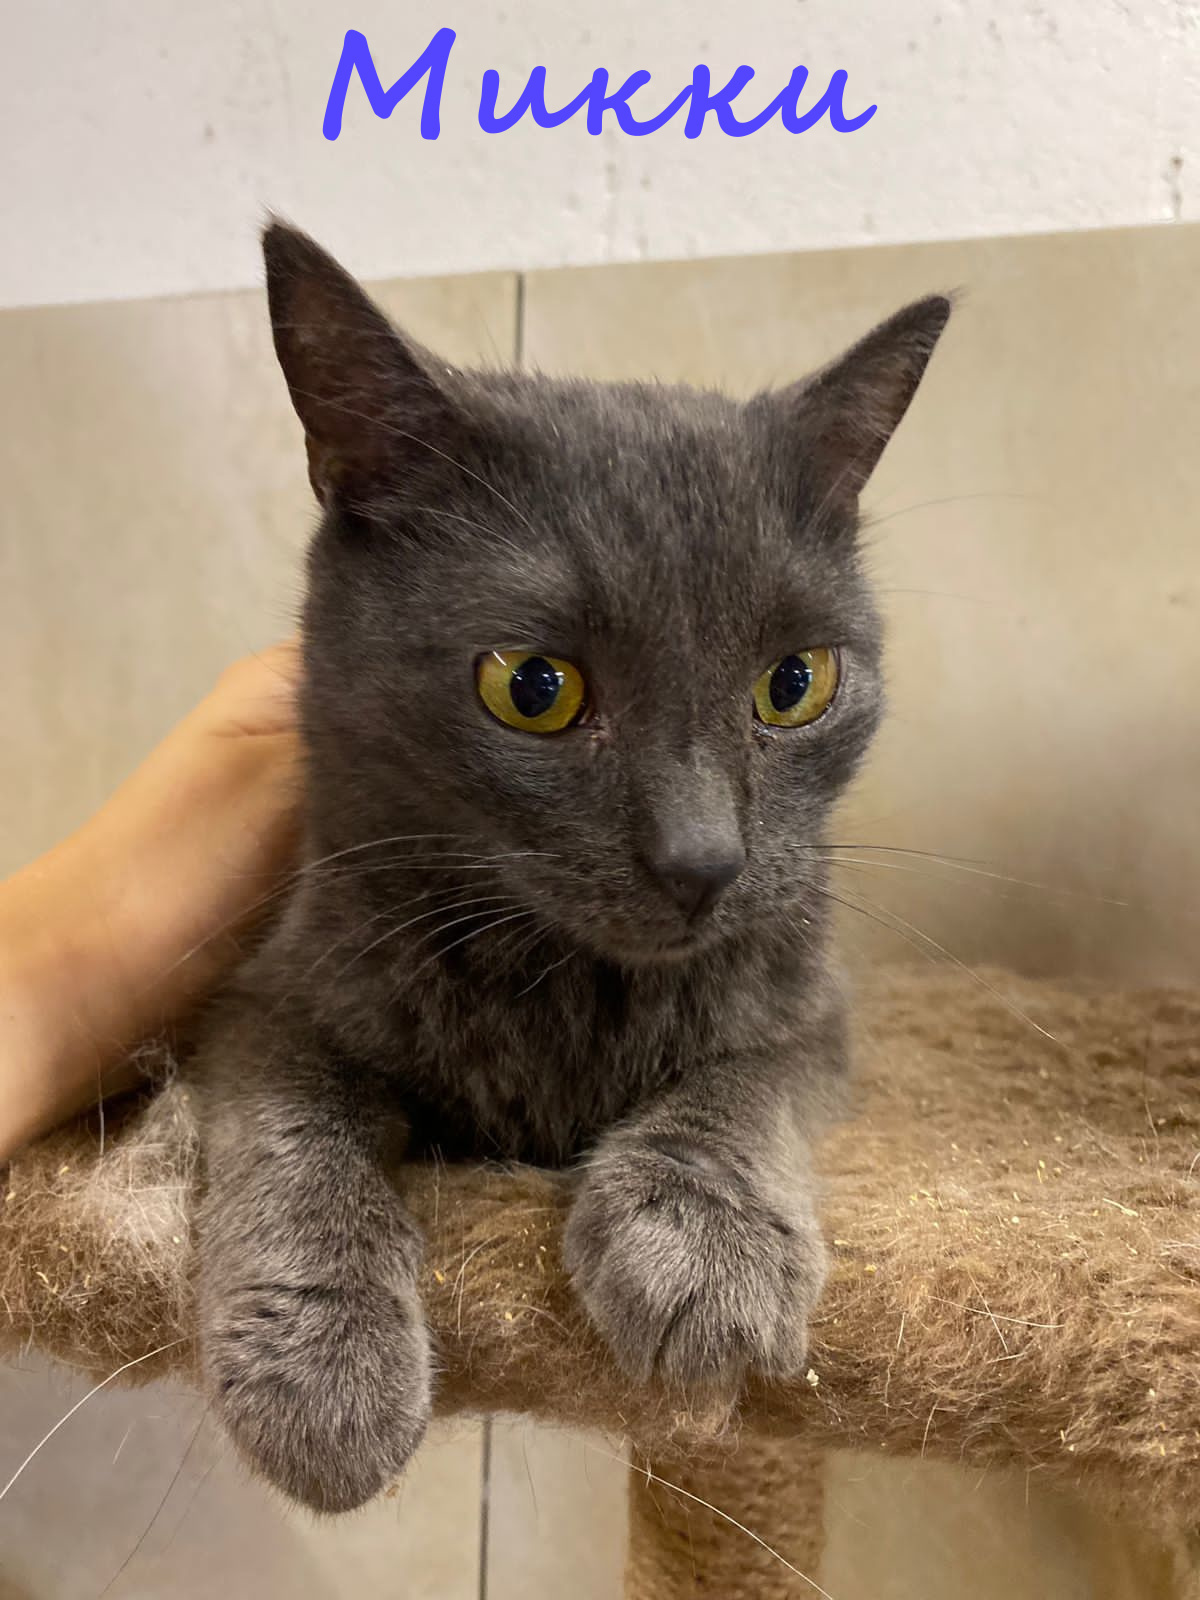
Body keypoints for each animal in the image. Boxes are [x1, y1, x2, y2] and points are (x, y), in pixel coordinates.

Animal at [193, 221, 949, 1512]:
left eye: (794, 682)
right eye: (533, 687)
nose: (704, 857)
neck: (568, 990)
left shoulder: (812, 1002)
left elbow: (747, 1078)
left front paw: (703, 1248)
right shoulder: (264, 990)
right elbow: (291, 1119)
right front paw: (321, 1368)